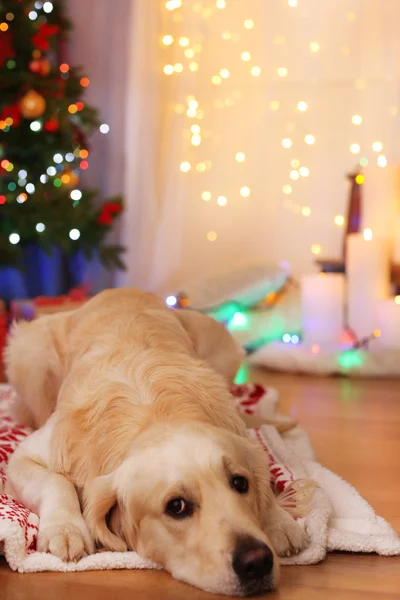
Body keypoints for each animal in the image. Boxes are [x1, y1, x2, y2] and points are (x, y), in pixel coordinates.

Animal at [4, 288, 308, 596]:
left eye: (240, 483)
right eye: (177, 507)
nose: (257, 561)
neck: (154, 415)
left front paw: (279, 521)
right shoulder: (22, 457)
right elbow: (56, 480)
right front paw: (66, 529)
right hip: (30, 352)